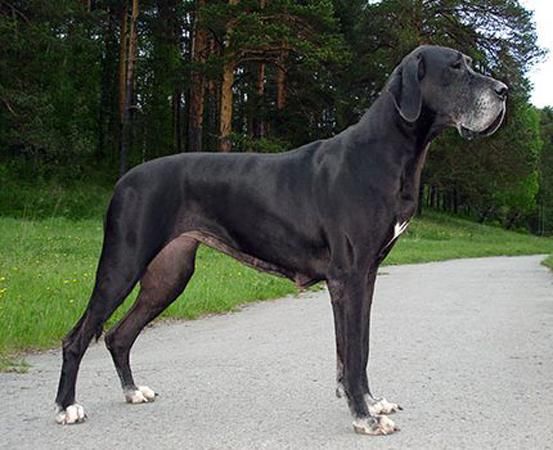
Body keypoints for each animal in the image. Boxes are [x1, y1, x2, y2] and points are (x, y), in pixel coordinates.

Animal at [55, 45, 507, 434]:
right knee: (78, 336)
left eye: (469, 63)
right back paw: (66, 406)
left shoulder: (366, 275)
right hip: (123, 262)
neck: (386, 152)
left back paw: (133, 392)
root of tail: (123, 179)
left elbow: (357, 348)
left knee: (118, 334)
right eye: (455, 67)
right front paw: (364, 417)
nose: (504, 91)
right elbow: (353, 351)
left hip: (170, 272)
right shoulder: (350, 276)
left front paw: (369, 402)